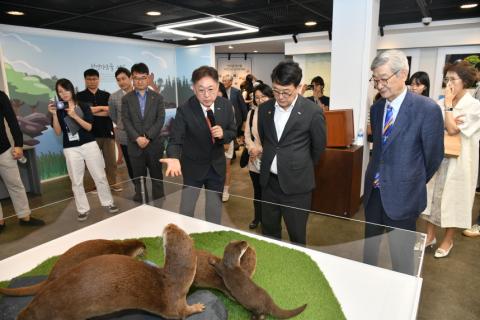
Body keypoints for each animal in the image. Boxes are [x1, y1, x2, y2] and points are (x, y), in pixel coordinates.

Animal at [16, 224, 203, 318]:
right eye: (168, 231)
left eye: (176, 229)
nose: (169, 224)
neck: (173, 281)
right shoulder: (174, 304)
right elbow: (182, 313)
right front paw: (198, 307)